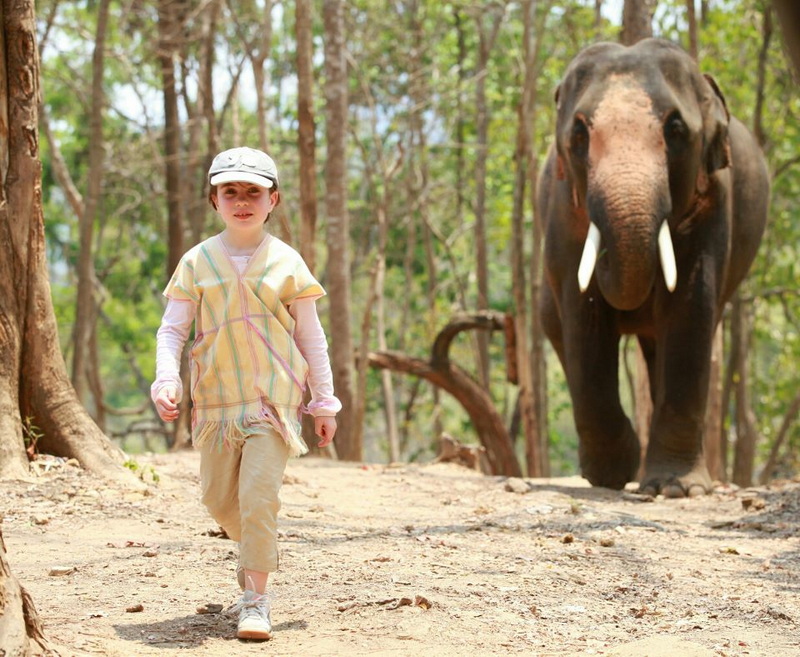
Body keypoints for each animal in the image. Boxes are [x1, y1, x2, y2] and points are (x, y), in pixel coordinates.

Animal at [536, 38, 769, 497]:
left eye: (675, 130)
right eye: (579, 134)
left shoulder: (714, 201)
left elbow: (690, 307)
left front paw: (675, 488)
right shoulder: (561, 208)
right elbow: (583, 314)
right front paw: (610, 476)